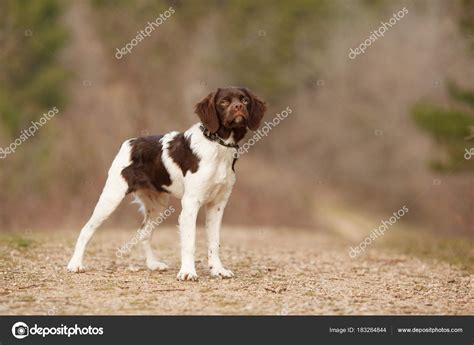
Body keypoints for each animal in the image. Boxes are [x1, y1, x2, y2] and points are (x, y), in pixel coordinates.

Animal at [67, 86, 266, 280]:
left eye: (244, 100)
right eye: (224, 101)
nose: (238, 107)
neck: (218, 146)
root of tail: (131, 142)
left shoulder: (217, 205)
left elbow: (214, 242)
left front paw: (218, 270)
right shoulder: (191, 203)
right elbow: (189, 242)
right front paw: (188, 272)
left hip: (157, 206)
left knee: (144, 233)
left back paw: (153, 264)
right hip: (111, 197)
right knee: (86, 230)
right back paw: (75, 264)